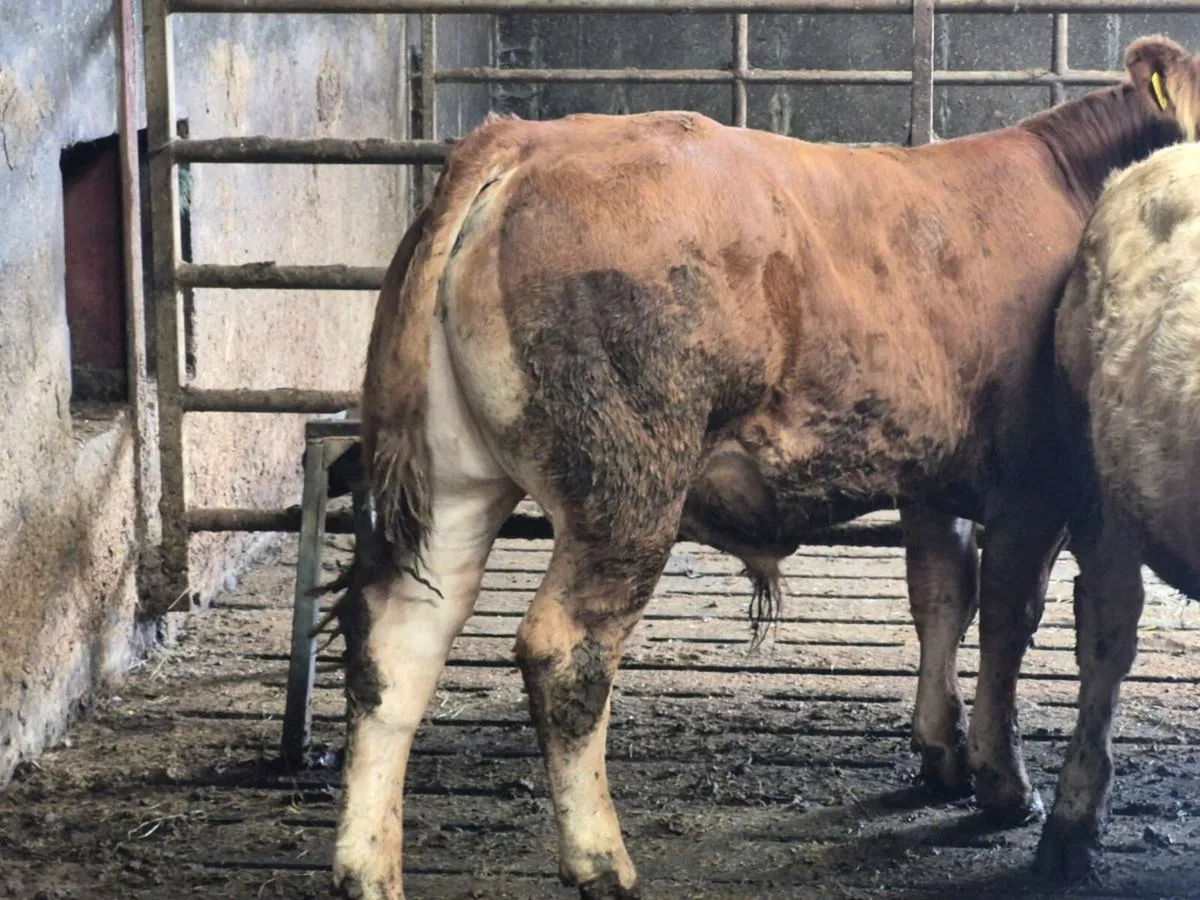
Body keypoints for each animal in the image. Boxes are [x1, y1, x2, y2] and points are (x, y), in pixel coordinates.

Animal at [324, 36, 1200, 899]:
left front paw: (942, 750)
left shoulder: (932, 480)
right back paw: (602, 860)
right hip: (628, 487)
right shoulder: (1042, 479)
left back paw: (367, 868)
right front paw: (1004, 782)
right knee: (563, 651)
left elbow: (941, 599)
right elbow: (1009, 621)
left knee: (395, 640)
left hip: (455, 477)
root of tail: (524, 138)